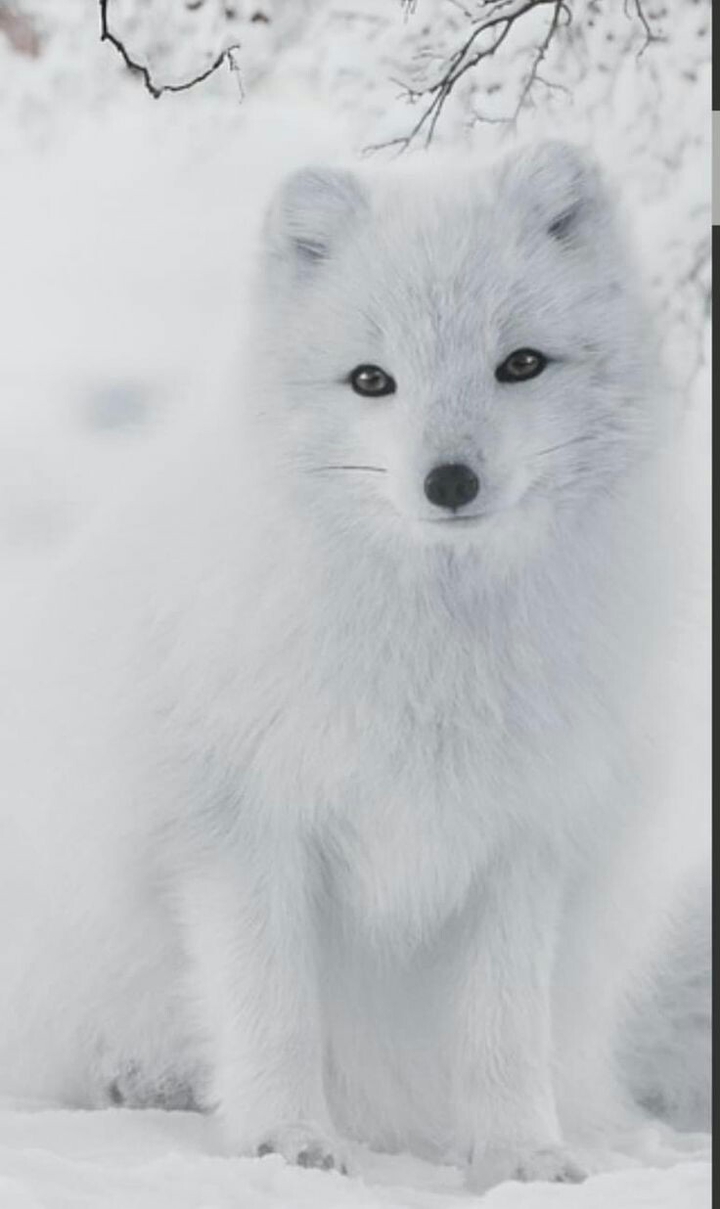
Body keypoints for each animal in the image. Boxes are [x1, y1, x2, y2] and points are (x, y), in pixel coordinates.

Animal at [0, 140, 709, 1193]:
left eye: (521, 364)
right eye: (372, 380)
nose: (449, 481)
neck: (434, 646)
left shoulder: (523, 840)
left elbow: (503, 1029)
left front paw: (520, 1156)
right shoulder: (242, 829)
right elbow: (273, 1008)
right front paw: (284, 1142)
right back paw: (144, 1080)